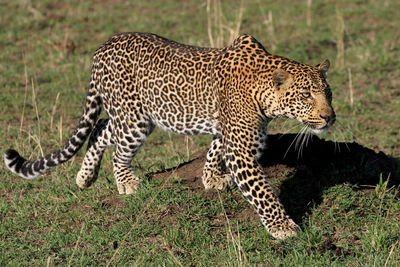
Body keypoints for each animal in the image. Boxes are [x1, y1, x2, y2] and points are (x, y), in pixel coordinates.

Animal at [3, 32, 334, 240]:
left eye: (328, 93)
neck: (264, 93)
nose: (329, 117)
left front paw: (211, 178)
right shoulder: (241, 150)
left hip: (135, 114)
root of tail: (102, 46)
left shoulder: (226, 129)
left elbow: (215, 149)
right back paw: (126, 182)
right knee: (118, 149)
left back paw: (85, 177)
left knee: (100, 129)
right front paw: (283, 228)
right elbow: (263, 193)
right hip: (134, 118)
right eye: (306, 95)